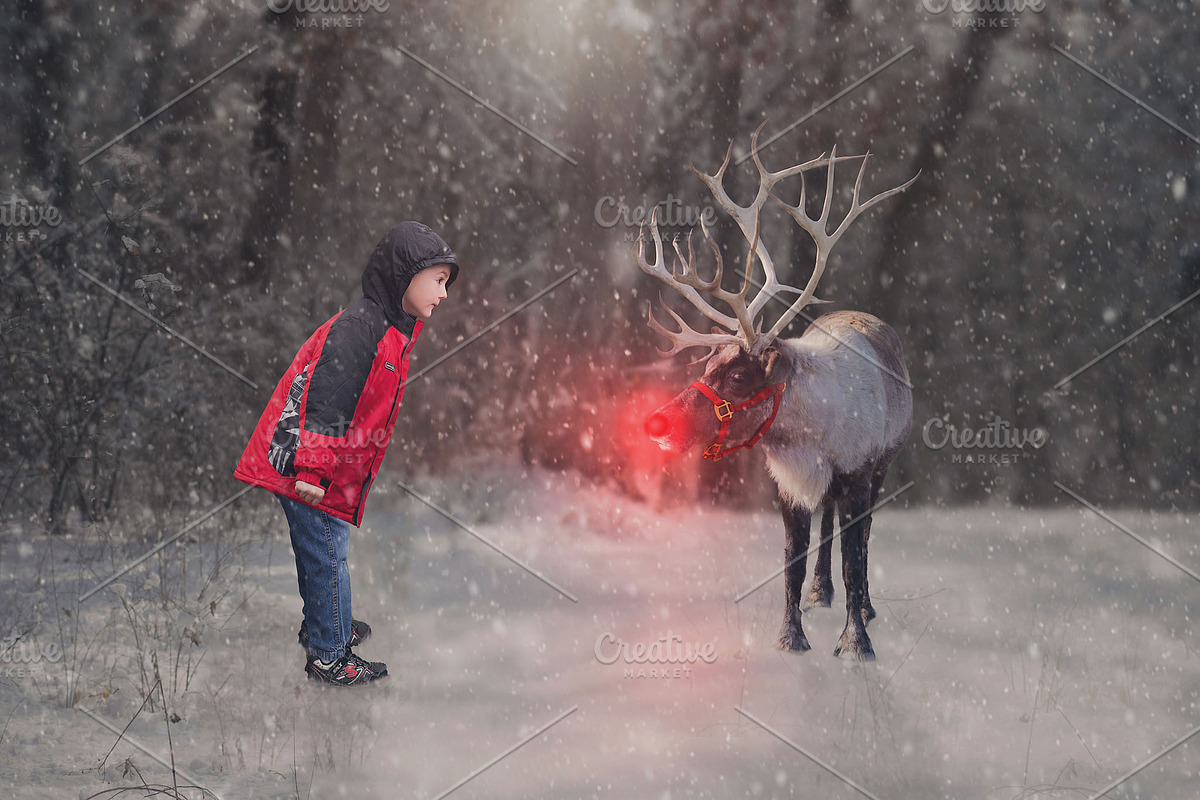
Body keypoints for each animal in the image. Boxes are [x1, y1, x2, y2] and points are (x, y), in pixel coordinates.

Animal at [636, 126, 916, 660]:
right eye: (708, 365)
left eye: (738, 377)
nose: (655, 422)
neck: (808, 436)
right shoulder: (787, 484)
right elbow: (792, 560)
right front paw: (791, 636)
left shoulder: (859, 472)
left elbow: (855, 557)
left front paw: (856, 642)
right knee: (827, 530)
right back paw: (821, 594)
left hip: (883, 468)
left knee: (863, 537)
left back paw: (864, 607)